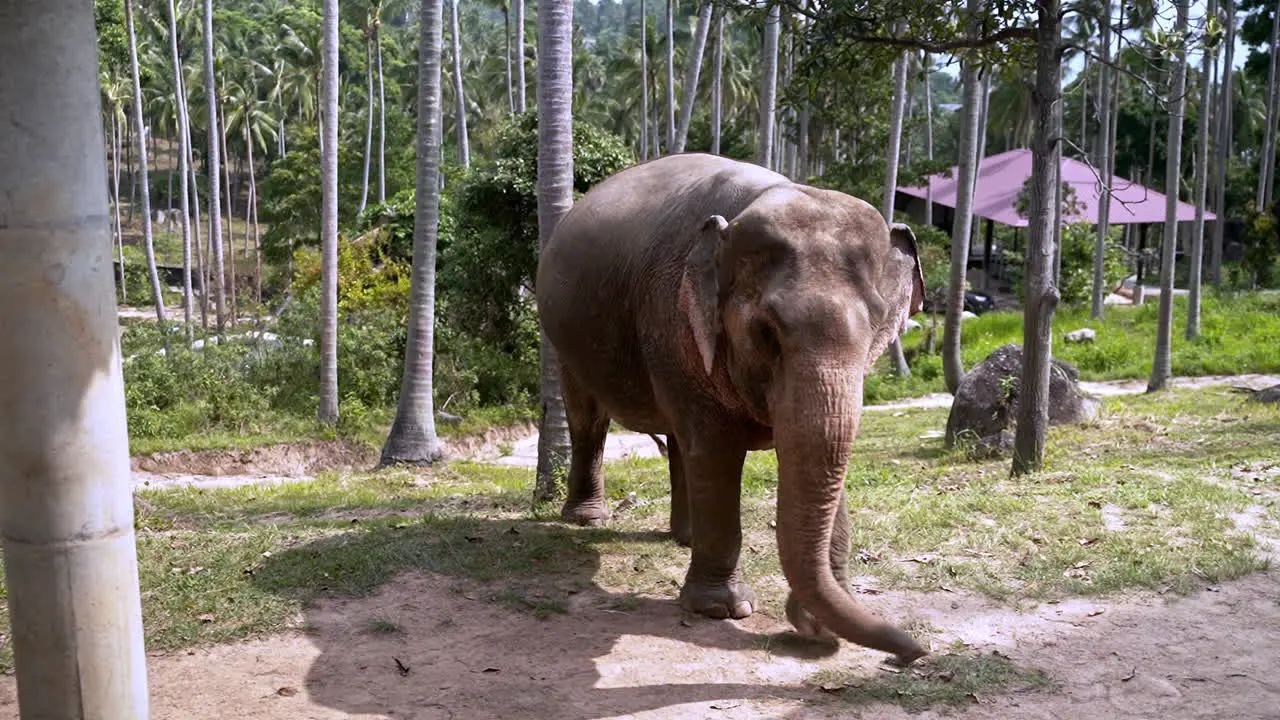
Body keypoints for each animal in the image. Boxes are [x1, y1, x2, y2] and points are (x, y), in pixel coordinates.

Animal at [535, 151, 926, 661]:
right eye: (767, 332)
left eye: (878, 324)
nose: (915, 650)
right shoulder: (673, 314)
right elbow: (717, 446)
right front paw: (721, 610)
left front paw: (823, 623)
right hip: (565, 340)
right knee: (589, 419)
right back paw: (587, 519)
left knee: (678, 439)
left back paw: (683, 538)